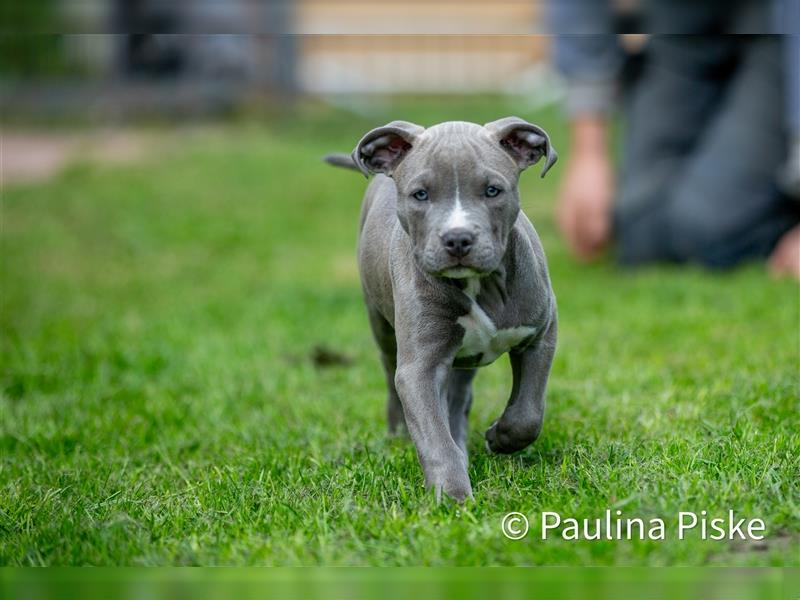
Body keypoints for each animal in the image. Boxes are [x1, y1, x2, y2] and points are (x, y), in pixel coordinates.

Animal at [324, 118, 556, 502]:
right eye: (420, 194)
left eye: (493, 190)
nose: (458, 239)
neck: (479, 285)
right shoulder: (419, 366)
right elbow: (433, 435)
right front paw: (453, 497)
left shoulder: (540, 334)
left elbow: (529, 412)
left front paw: (500, 438)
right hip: (382, 328)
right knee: (395, 383)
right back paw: (403, 436)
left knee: (459, 396)